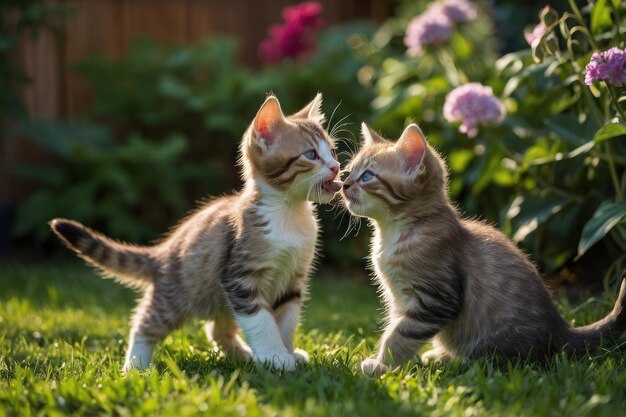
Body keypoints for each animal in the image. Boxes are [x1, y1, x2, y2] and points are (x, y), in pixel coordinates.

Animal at [48, 94, 342, 370]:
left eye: (332, 151)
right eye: (311, 155)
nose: (336, 166)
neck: (289, 213)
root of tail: (164, 250)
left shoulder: (293, 276)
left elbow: (287, 320)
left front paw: (287, 353)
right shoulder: (239, 277)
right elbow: (260, 319)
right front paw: (274, 357)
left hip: (217, 297)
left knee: (216, 329)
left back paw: (243, 355)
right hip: (176, 296)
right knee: (144, 324)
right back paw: (135, 367)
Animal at [342, 122, 624, 372]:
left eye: (367, 176)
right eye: (349, 172)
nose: (344, 185)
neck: (393, 233)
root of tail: (560, 328)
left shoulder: (436, 299)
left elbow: (400, 334)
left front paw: (381, 365)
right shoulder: (399, 300)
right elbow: (394, 327)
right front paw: (387, 363)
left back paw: (459, 361)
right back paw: (440, 355)